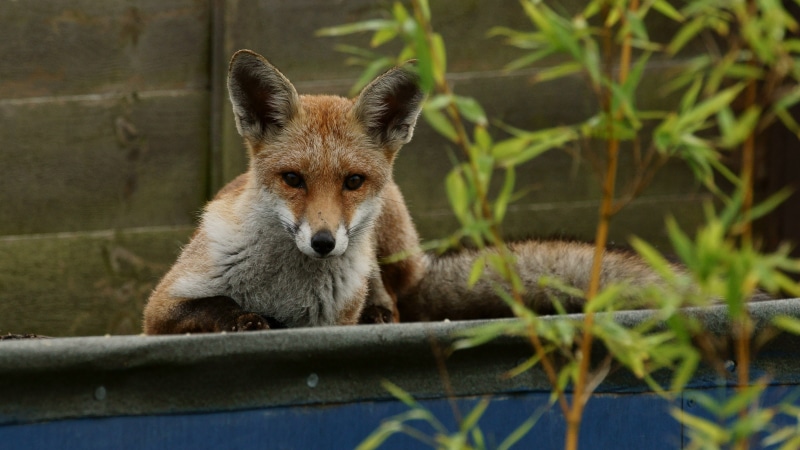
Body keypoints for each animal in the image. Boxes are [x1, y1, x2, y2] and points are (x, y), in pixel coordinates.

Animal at [143, 50, 684, 335]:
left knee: (393, 297)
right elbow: (216, 307)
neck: (283, 288)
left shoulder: (333, 321)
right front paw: (249, 319)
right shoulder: (161, 308)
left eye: (352, 181)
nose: (324, 242)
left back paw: (381, 312)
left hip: (386, 234)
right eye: (293, 179)